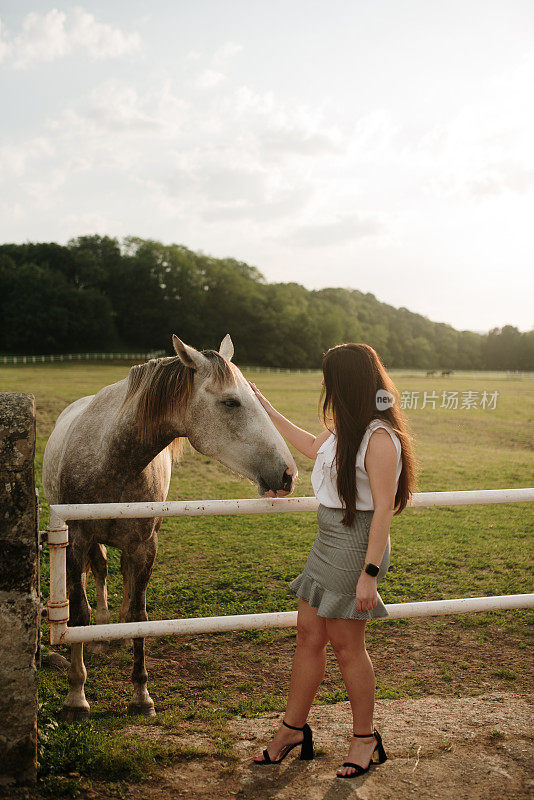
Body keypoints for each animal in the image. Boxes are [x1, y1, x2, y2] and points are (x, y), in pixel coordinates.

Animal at [43, 334, 300, 720]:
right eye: (230, 401)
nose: (287, 474)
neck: (112, 458)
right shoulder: (76, 539)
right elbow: (78, 615)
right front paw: (76, 697)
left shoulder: (144, 545)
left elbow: (140, 613)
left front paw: (140, 695)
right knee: (96, 577)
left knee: (117, 577)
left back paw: (115, 630)